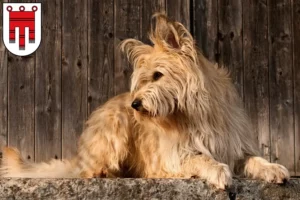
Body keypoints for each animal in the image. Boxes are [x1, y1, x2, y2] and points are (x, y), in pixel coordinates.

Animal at [0, 12, 290, 189]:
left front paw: (272, 168)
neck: (196, 114)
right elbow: (199, 158)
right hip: (114, 126)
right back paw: (105, 172)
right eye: (143, 79)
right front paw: (217, 169)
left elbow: (253, 158)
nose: (135, 105)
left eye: (158, 75)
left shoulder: (234, 145)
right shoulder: (174, 156)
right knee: (87, 171)